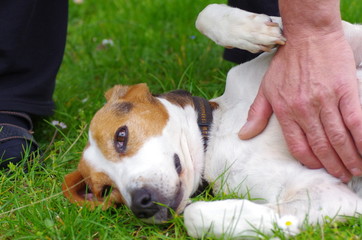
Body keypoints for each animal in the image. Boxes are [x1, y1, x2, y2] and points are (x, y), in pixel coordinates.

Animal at [61, 3, 362, 238]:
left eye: (120, 136)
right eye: (106, 190)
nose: (140, 204)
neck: (218, 130)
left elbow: (204, 13)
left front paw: (254, 28)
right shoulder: (324, 193)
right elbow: (194, 215)